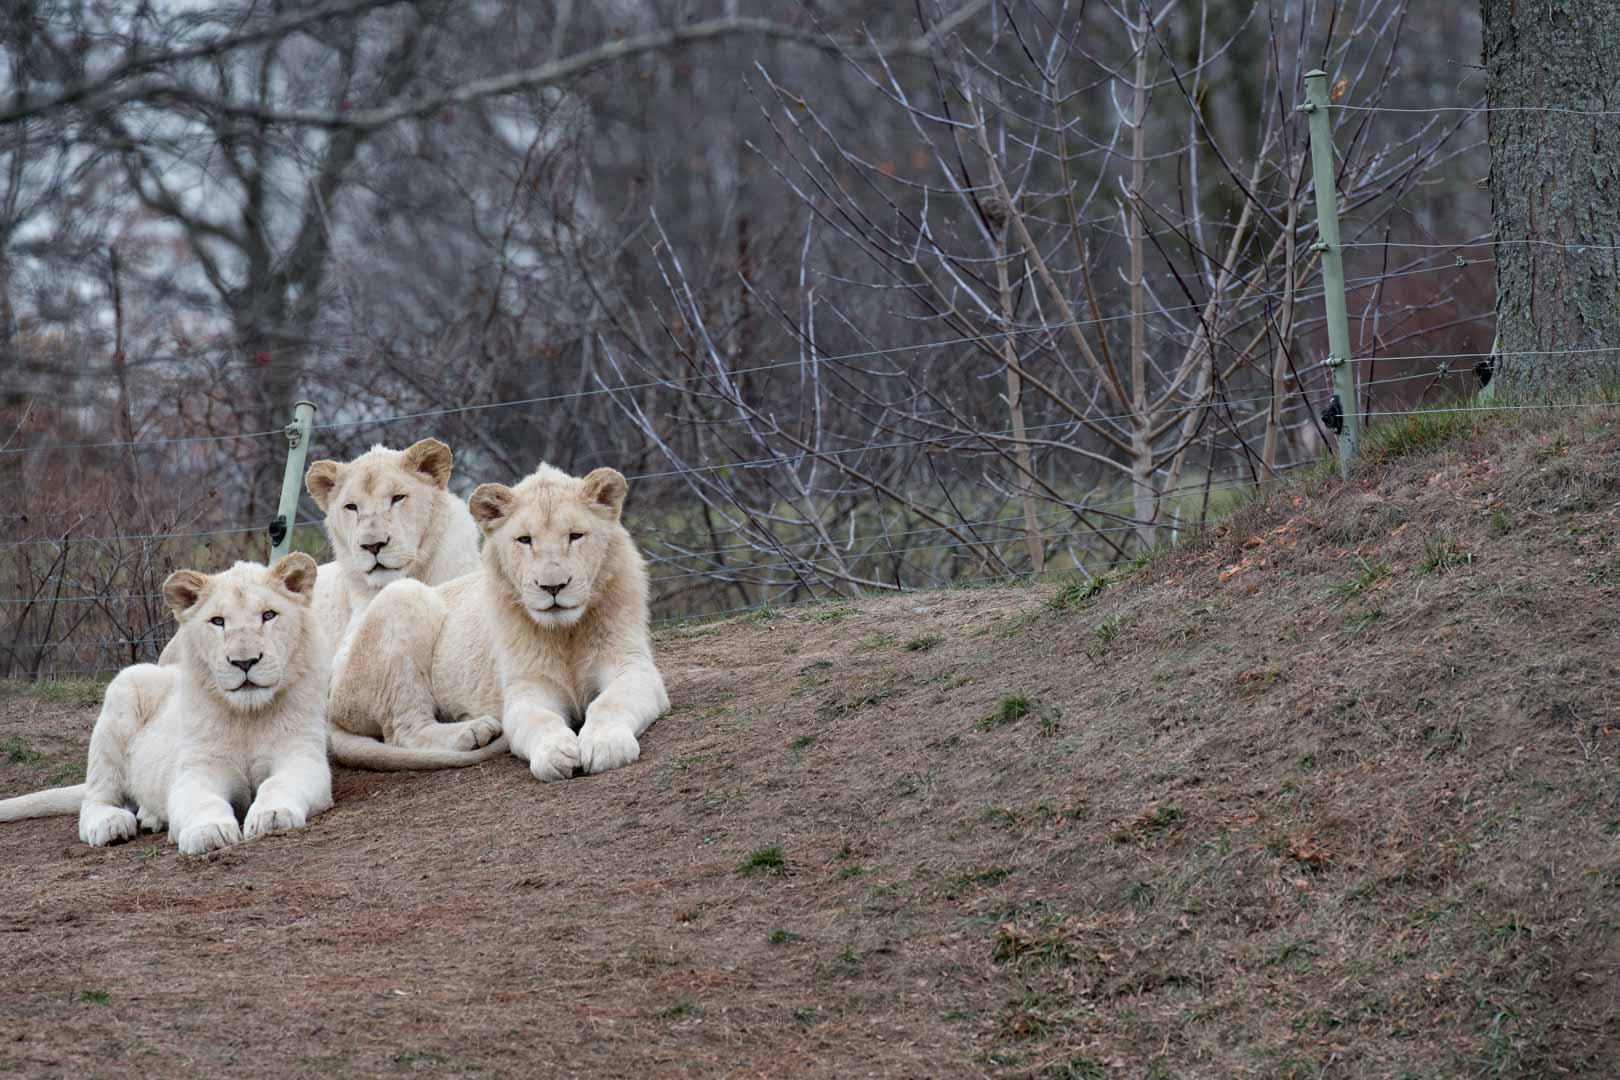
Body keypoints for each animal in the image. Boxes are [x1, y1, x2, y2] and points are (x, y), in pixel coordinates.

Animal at [0, 555, 335, 855]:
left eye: (268, 615)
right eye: (218, 621)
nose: (244, 662)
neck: (247, 716)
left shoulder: (302, 756)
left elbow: (279, 784)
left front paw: (273, 815)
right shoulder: (197, 769)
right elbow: (202, 801)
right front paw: (208, 832)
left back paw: (151, 818)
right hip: (125, 688)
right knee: (95, 799)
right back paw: (112, 824)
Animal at [327, 464, 668, 779]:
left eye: (575, 536)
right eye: (525, 540)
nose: (553, 587)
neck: (564, 633)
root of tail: (333, 703)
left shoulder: (631, 664)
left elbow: (611, 701)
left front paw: (605, 745)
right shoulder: (525, 688)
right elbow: (539, 720)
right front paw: (555, 754)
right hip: (405, 594)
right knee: (403, 731)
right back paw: (475, 731)